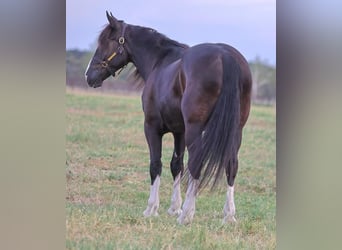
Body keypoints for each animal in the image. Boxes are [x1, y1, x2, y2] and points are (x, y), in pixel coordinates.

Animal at [85, 11, 251, 225]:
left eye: (107, 41)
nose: (89, 76)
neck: (160, 62)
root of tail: (225, 56)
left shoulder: (152, 127)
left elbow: (155, 164)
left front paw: (152, 209)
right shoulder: (179, 131)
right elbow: (176, 165)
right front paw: (174, 208)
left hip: (195, 128)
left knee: (196, 163)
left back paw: (187, 215)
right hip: (235, 129)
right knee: (231, 164)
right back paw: (228, 216)